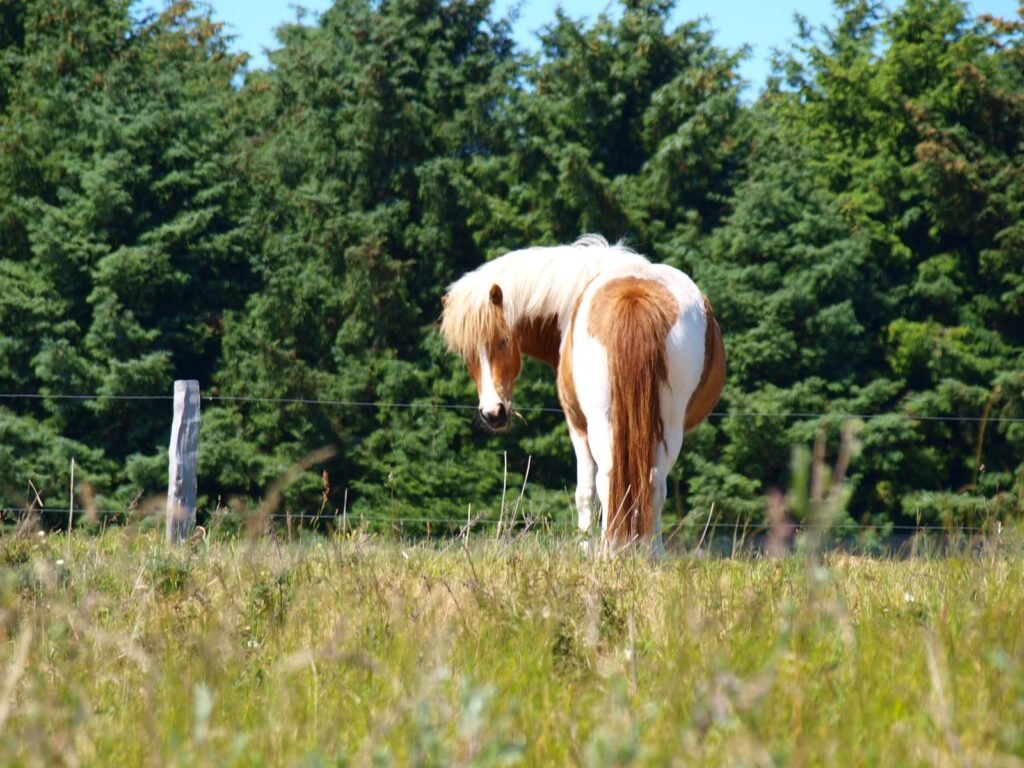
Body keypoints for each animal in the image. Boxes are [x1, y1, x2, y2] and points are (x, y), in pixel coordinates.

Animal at [440, 235, 725, 553]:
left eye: (502, 340)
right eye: (466, 353)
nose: (493, 414)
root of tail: (634, 296)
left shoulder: (577, 424)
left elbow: (585, 492)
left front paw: (585, 547)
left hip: (604, 423)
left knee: (609, 479)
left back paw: (610, 552)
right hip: (666, 426)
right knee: (652, 482)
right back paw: (649, 552)